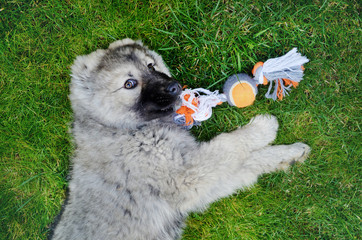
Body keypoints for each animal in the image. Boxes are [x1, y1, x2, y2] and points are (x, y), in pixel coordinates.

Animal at [50, 39, 312, 240]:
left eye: (151, 65)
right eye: (129, 83)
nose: (174, 87)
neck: (120, 129)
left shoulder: (201, 184)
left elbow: (249, 163)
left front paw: (288, 154)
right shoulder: (186, 177)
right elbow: (229, 143)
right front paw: (263, 129)